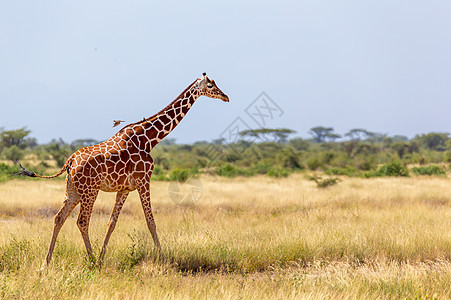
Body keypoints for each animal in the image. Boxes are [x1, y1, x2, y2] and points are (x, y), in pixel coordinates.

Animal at [19, 72, 230, 264]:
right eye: (210, 85)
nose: (226, 96)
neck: (149, 140)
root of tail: (70, 160)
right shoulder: (144, 181)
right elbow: (151, 222)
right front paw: (163, 257)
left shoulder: (125, 189)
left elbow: (111, 223)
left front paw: (103, 257)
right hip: (89, 191)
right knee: (82, 221)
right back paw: (91, 261)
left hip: (72, 191)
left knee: (58, 218)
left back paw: (46, 263)